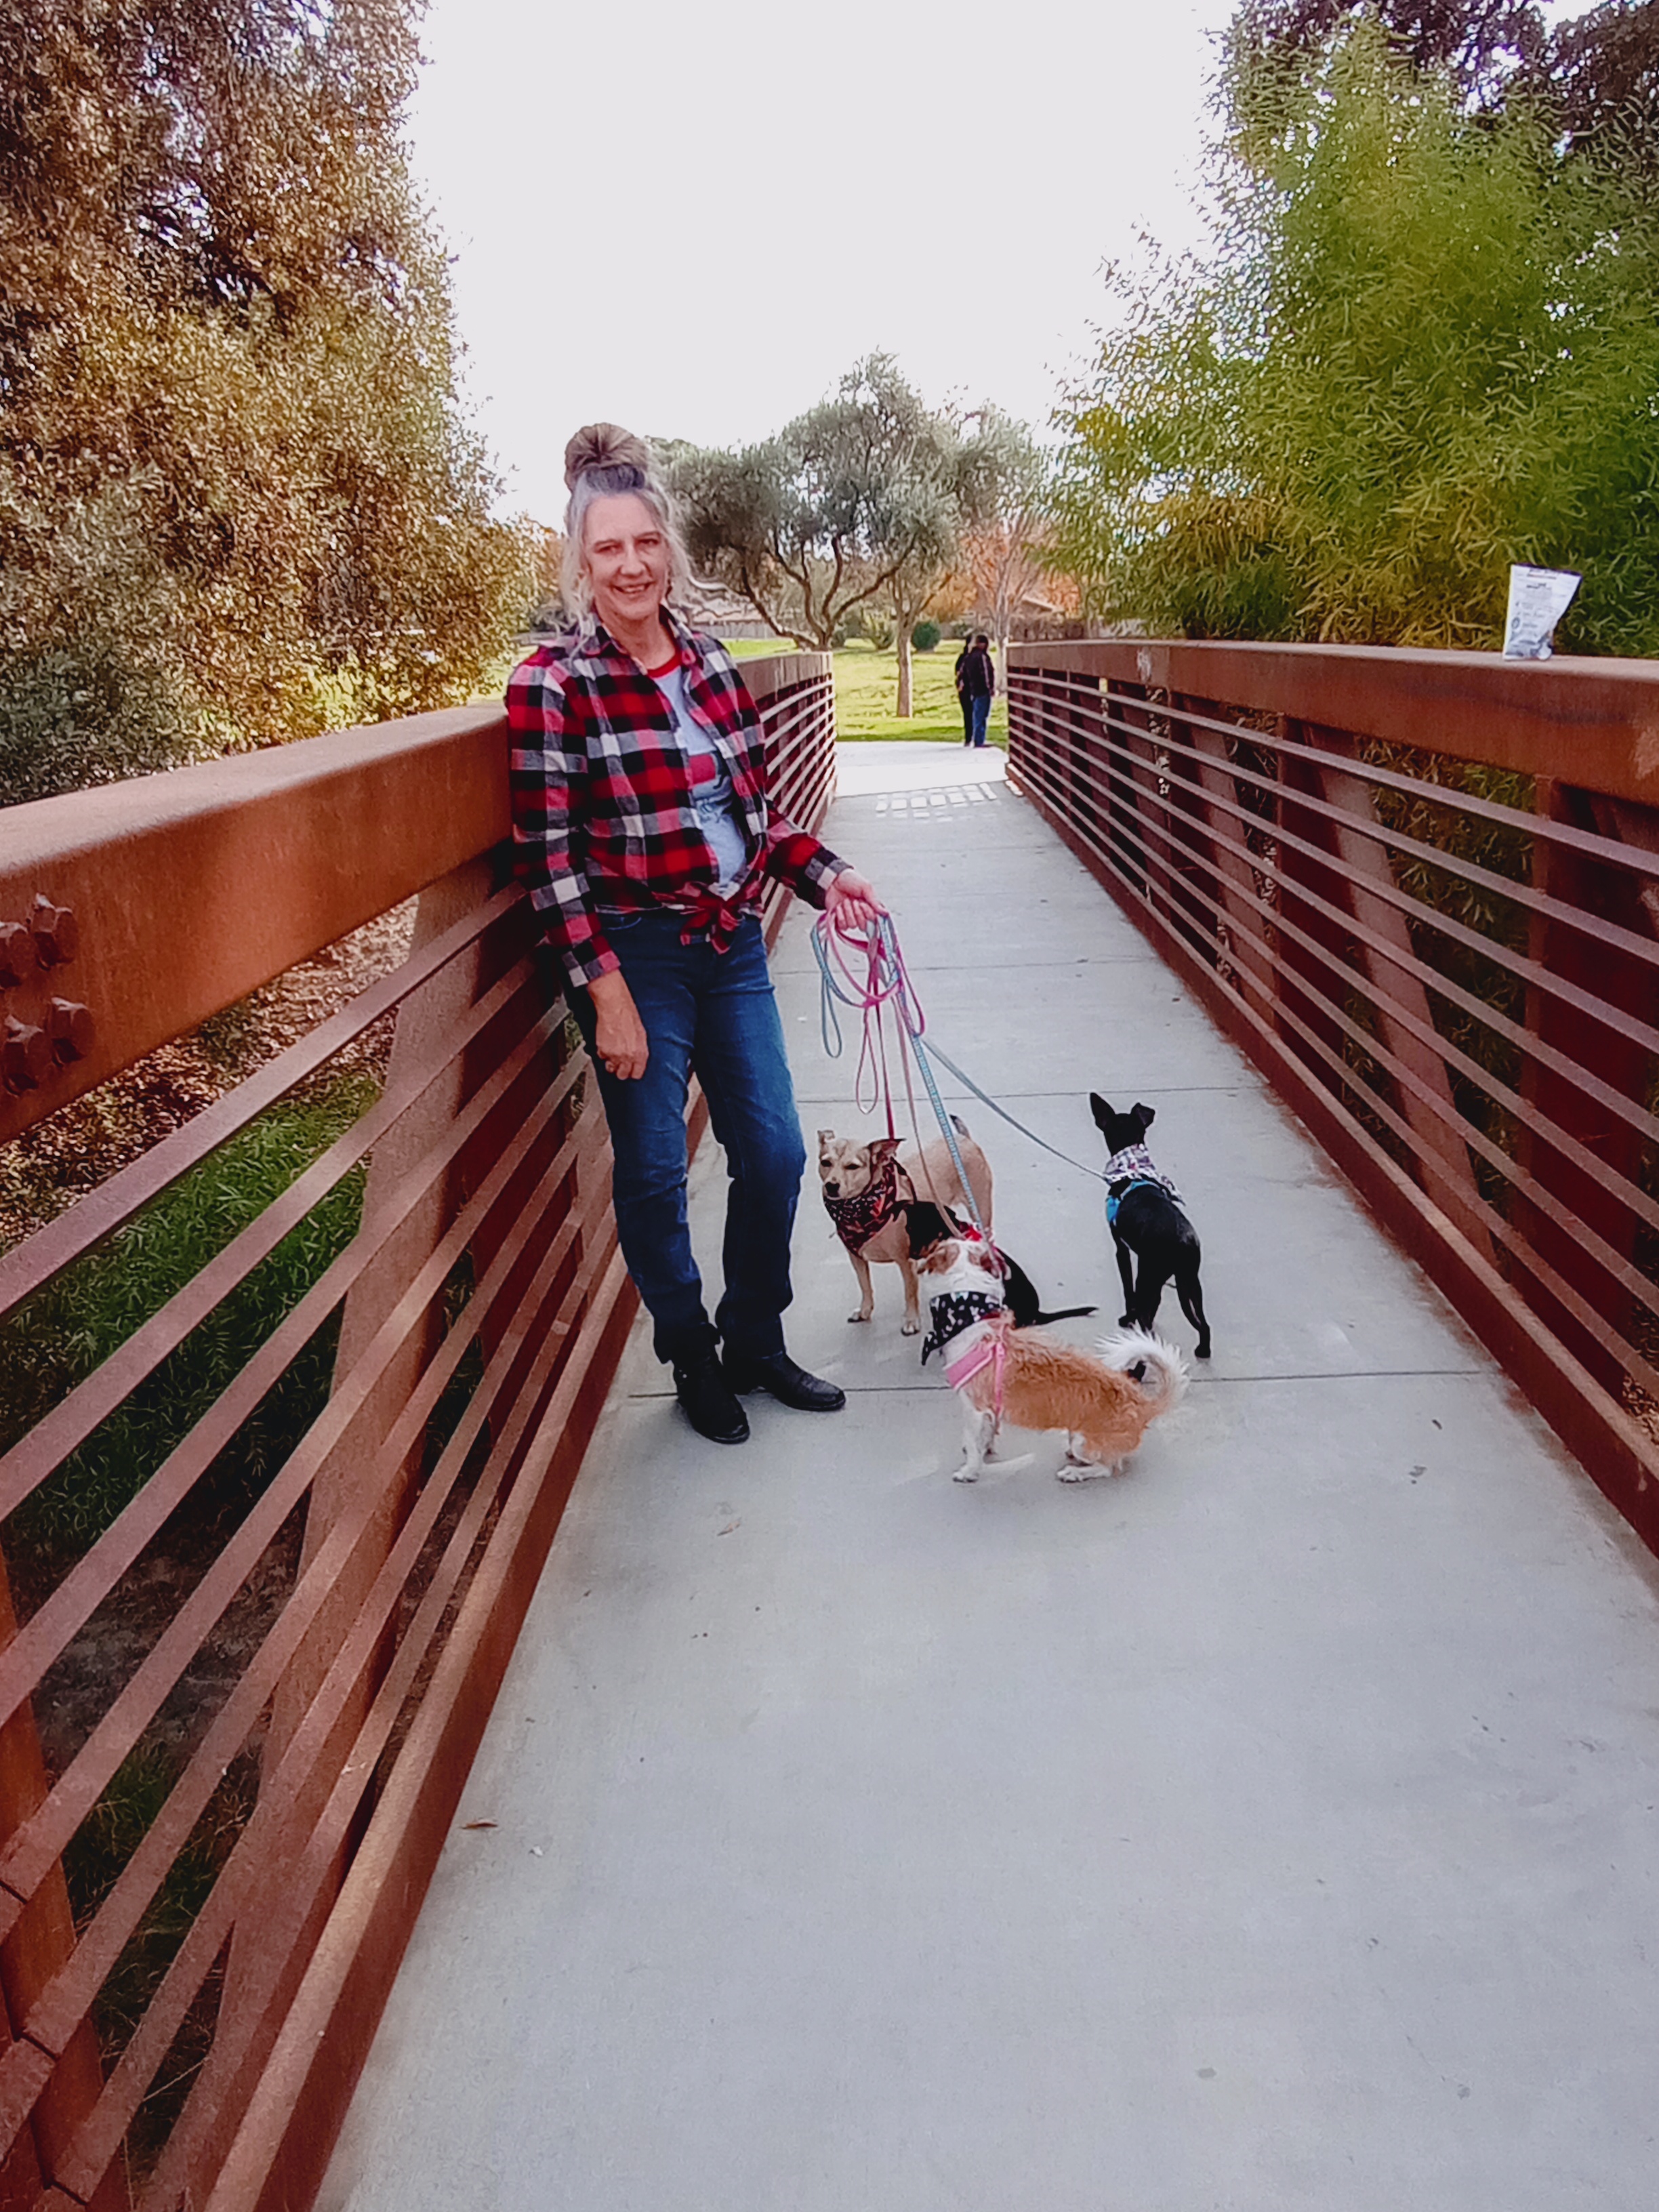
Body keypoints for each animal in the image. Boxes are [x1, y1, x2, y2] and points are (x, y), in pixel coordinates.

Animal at [817, 1121, 993, 1336]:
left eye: (852, 1167)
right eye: (826, 1163)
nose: (831, 1186)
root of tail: (963, 1138)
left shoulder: (905, 1261)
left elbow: (910, 1292)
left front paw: (912, 1321)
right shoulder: (856, 1258)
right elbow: (865, 1285)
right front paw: (865, 1310)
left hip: (980, 1213)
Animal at [917, 1233, 1186, 1482]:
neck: (968, 1313)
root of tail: (1143, 1404)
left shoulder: (974, 1409)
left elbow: (973, 1445)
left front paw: (969, 1471)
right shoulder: (989, 1412)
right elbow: (986, 1436)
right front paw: (986, 1449)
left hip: (1083, 1442)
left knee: (1107, 1468)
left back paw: (1075, 1473)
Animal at [1089, 1096, 1211, 1359]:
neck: (1132, 1171)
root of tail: (1183, 1243)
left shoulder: (1121, 1250)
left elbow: (1129, 1291)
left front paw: (1127, 1318)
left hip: (1150, 1276)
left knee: (1145, 1308)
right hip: (1190, 1282)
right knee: (1204, 1323)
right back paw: (1203, 1349)